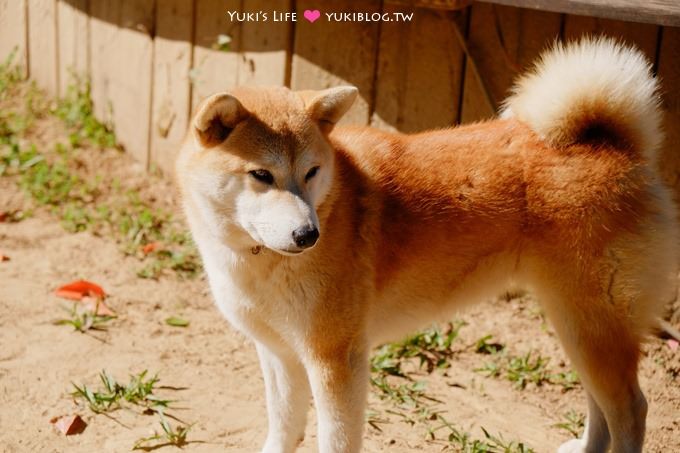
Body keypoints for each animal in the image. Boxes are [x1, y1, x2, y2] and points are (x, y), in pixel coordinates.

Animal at [177, 39, 680, 452]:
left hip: (591, 325)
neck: (258, 261)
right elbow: (283, 429)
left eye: (311, 172)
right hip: (576, 324)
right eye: (262, 175)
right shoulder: (280, 354)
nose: (308, 235)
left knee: (631, 409)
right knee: (602, 406)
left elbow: (335, 438)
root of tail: (616, 147)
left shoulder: (336, 359)